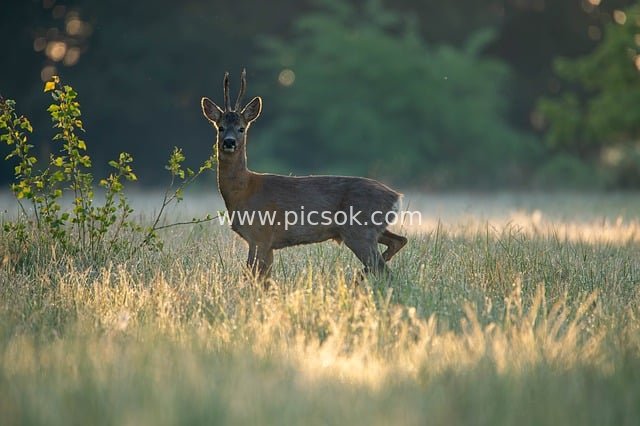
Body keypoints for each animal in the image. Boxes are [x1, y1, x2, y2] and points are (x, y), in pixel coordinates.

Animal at [200, 70, 407, 281]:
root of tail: (396, 197)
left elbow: (254, 276)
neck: (244, 190)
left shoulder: (260, 234)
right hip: (370, 230)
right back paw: (359, 276)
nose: (229, 142)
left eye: (241, 128)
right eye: (220, 127)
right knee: (398, 242)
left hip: (360, 230)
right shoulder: (264, 242)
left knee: (384, 269)